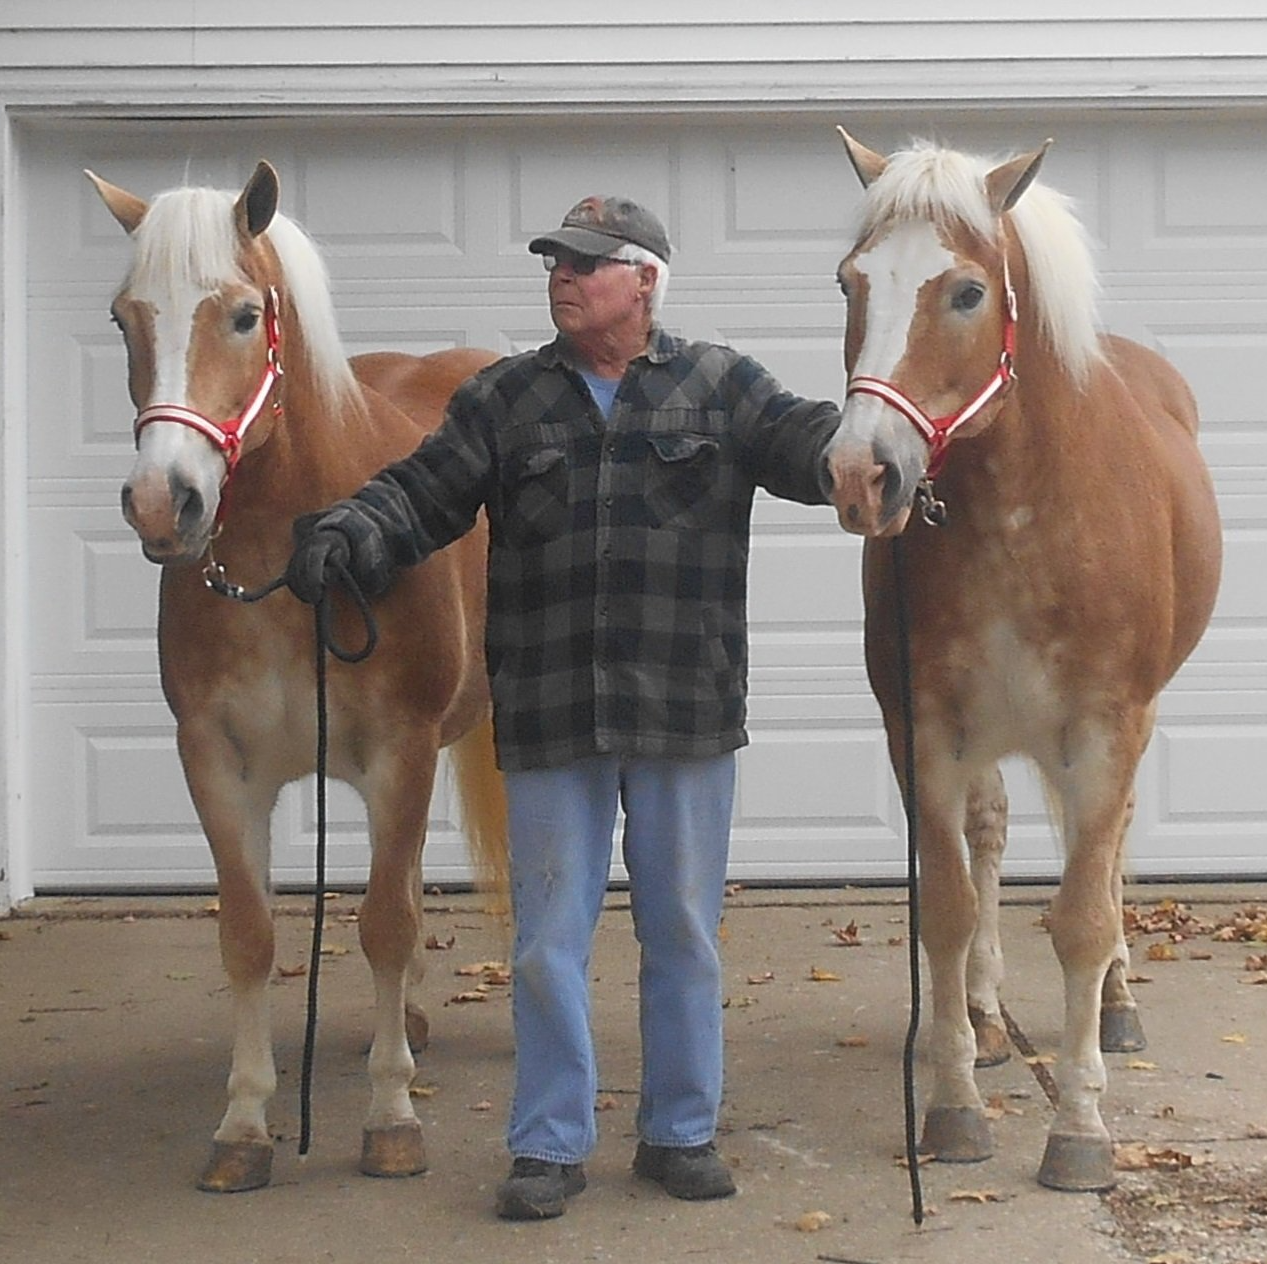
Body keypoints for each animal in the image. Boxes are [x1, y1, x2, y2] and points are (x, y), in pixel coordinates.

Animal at [87, 160, 507, 1193]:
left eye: (243, 316)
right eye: (123, 318)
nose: (161, 502)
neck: (295, 561)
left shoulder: (399, 754)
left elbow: (384, 923)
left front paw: (391, 1119)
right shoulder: (217, 764)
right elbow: (250, 935)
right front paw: (242, 1126)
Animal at [822, 131, 1222, 1191]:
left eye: (966, 292)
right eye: (849, 283)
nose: (859, 474)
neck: (1023, 510)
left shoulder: (1104, 731)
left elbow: (1080, 916)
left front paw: (1079, 1129)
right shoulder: (923, 732)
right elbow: (949, 909)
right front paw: (956, 1103)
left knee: (1107, 850)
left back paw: (1116, 1005)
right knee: (991, 839)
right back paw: (983, 1018)